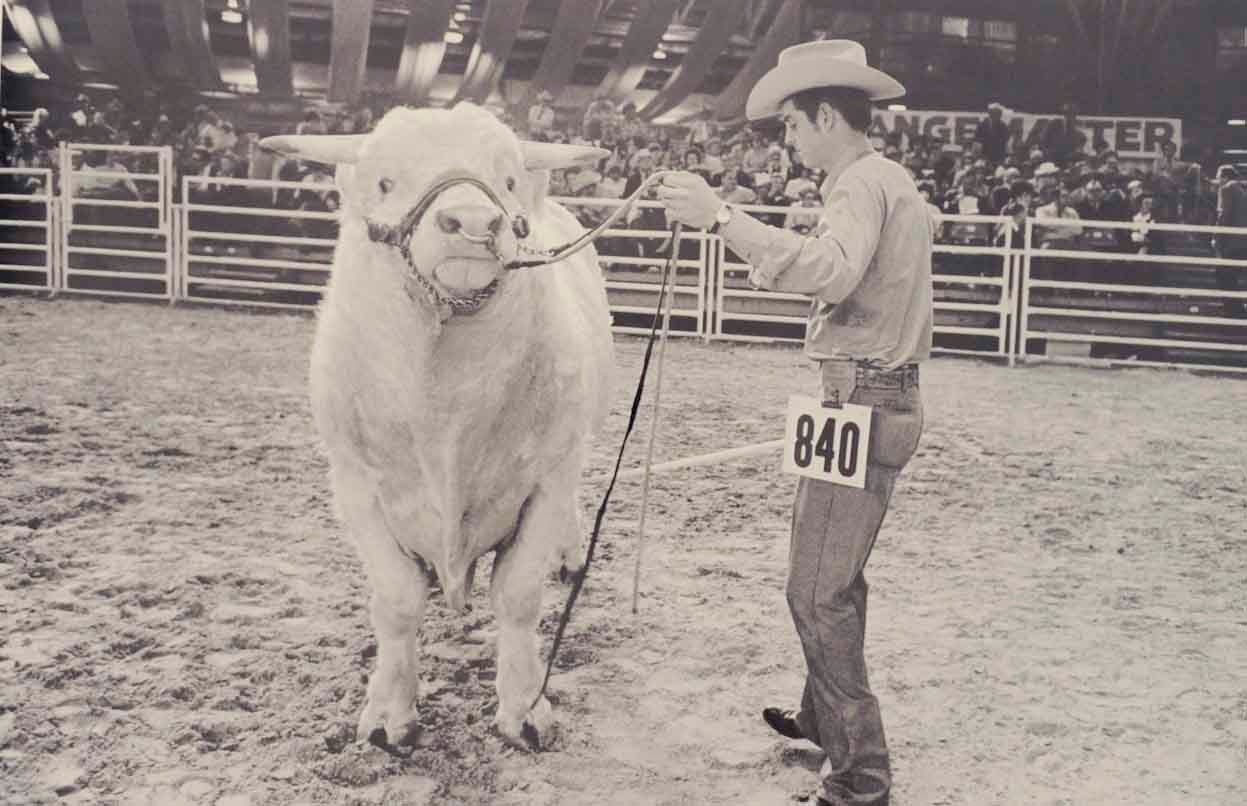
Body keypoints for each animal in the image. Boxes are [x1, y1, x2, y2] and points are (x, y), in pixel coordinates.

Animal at [261, 104, 613, 753]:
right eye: (384, 182)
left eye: (506, 180)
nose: (472, 222)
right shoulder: (356, 488)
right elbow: (399, 600)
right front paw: (388, 715)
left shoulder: (547, 478)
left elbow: (518, 595)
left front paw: (524, 708)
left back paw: (571, 557)